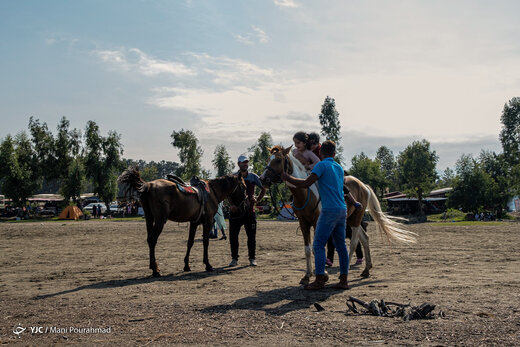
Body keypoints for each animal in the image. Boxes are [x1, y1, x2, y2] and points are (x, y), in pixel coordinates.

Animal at [118, 167, 248, 278]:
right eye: (244, 186)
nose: (245, 204)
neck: (212, 192)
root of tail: (149, 185)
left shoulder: (194, 222)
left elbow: (190, 242)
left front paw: (186, 265)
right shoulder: (208, 221)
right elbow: (205, 242)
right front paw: (207, 264)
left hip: (149, 218)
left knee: (149, 239)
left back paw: (153, 266)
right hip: (160, 220)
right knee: (152, 240)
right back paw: (156, 270)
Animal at [260, 145, 418, 284]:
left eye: (278, 160)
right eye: (267, 160)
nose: (263, 179)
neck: (306, 193)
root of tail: (364, 186)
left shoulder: (318, 223)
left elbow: (318, 248)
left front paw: (322, 274)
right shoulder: (303, 223)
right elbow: (308, 249)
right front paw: (307, 276)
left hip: (356, 219)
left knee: (354, 242)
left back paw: (346, 268)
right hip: (350, 219)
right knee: (365, 238)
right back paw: (366, 269)